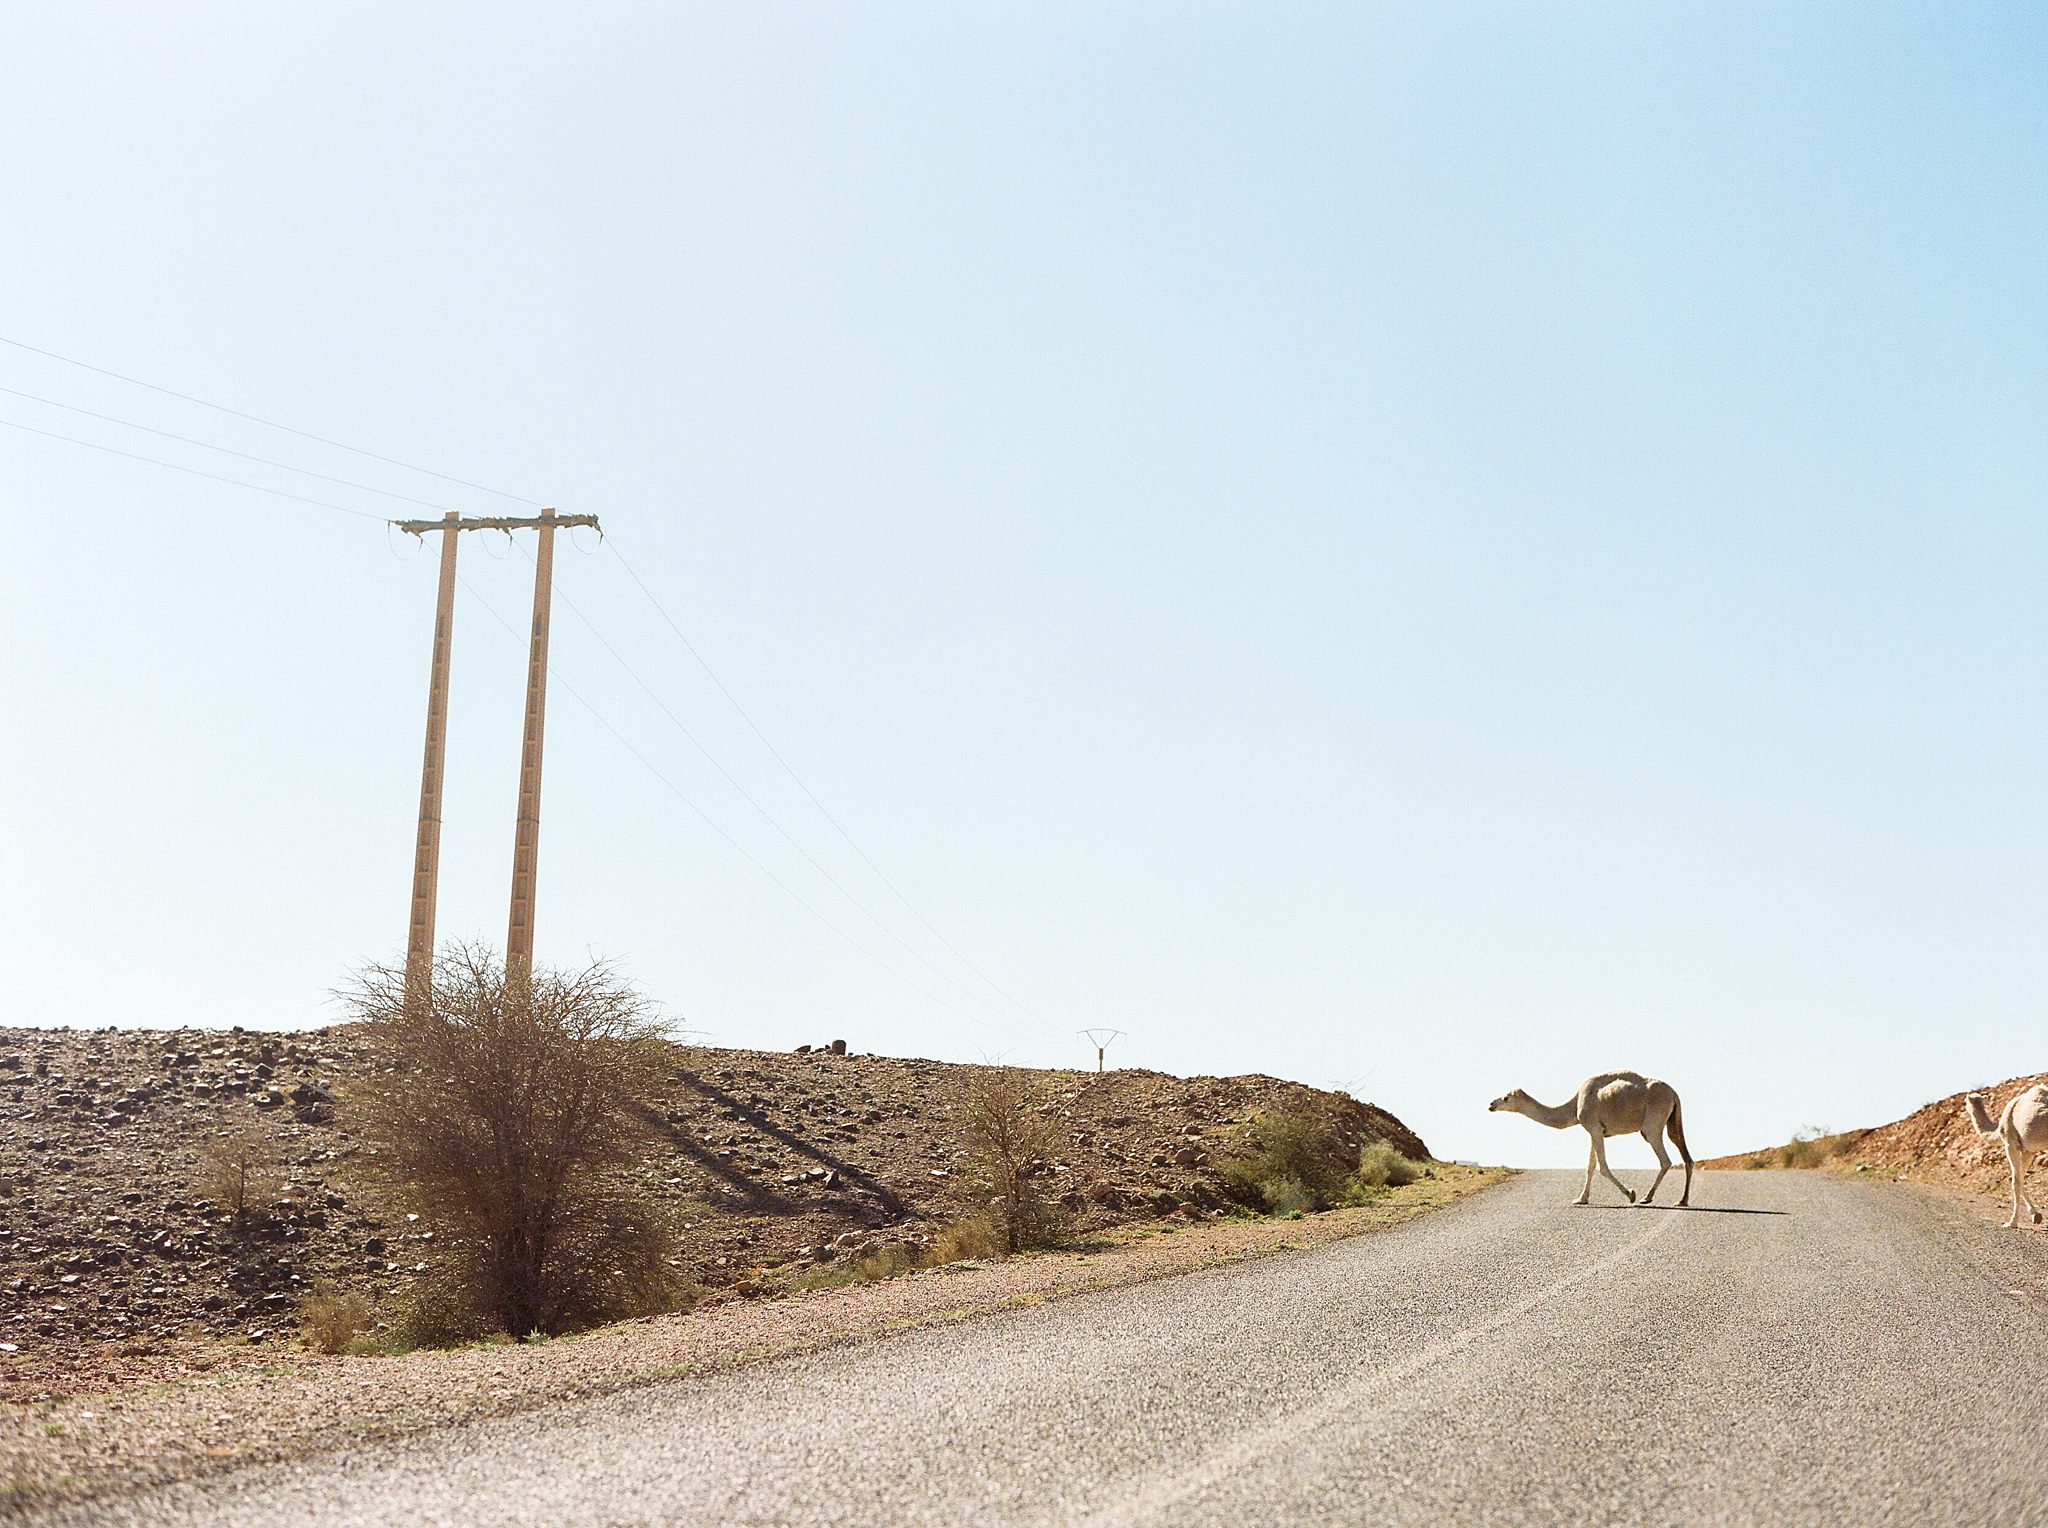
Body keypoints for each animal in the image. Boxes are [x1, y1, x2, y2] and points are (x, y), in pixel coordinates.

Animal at [1490, 1073, 1695, 1204]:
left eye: (1506, 1098)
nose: (1491, 1104)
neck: (1575, 1105)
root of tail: (1674, 1093)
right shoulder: (1595, 1131)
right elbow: (1590, 1166)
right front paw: (1581, 1199)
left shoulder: (1594, 1128)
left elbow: (1602, 1167)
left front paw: (1630, 1194)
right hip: (1672, 1121)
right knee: (1686, 1155)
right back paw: (1682, 1200)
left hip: (1651, 1124)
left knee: (1665, 1159)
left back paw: (1647, 1197)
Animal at [1957, 1081, 2039, 1228]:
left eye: (1965, 1101)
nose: (1963, 1107)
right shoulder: (2028, 1149)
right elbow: (2020, 1177)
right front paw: (2036, 1215)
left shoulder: (2010, 1143)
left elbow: (2015, 1181)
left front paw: (2012, 1222)